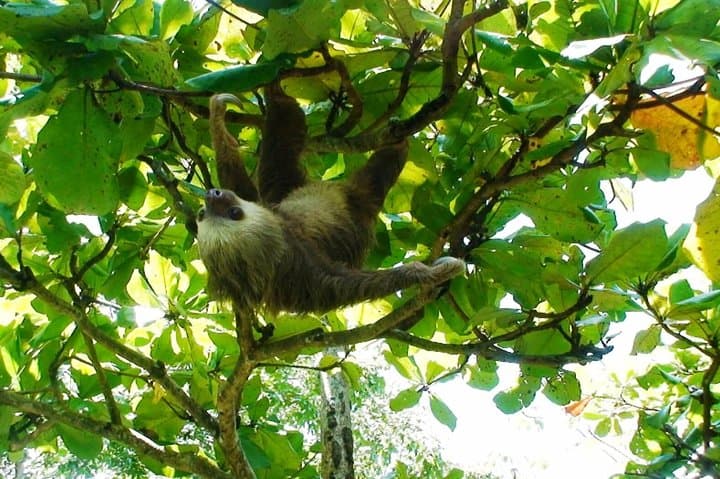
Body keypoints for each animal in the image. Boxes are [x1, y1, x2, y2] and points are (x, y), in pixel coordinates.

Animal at [195, 82, 465, 314]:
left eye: (200, 214)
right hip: (359, 201)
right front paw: (429, 272)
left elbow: (242, 186)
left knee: (278, 155)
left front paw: (217, 114)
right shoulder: (305, 269)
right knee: (372, 177)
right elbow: (349, 285)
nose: (212, 193)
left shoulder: (269, 208)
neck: (285, 232)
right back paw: (397, 141)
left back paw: (275, 86)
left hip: (284, 190)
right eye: (234, 214)